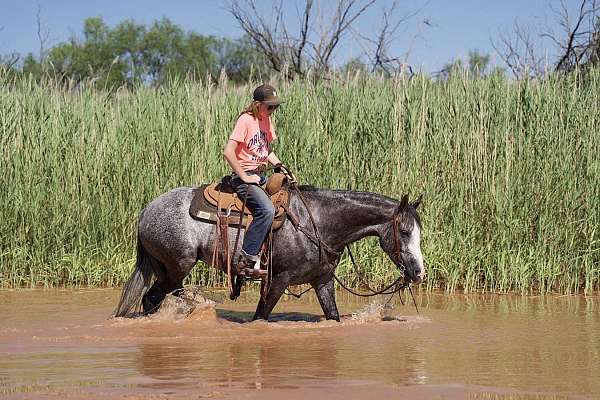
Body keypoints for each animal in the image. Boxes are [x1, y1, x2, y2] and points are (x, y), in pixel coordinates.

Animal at [115, 185, 424, 322]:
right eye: (404, 231)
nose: (419, 272)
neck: (319, 221)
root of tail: (146, 210)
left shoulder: (322, 281)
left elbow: (333, 315)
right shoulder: (277, 280)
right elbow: (260, 317)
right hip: (177, 266)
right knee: (152, 297)